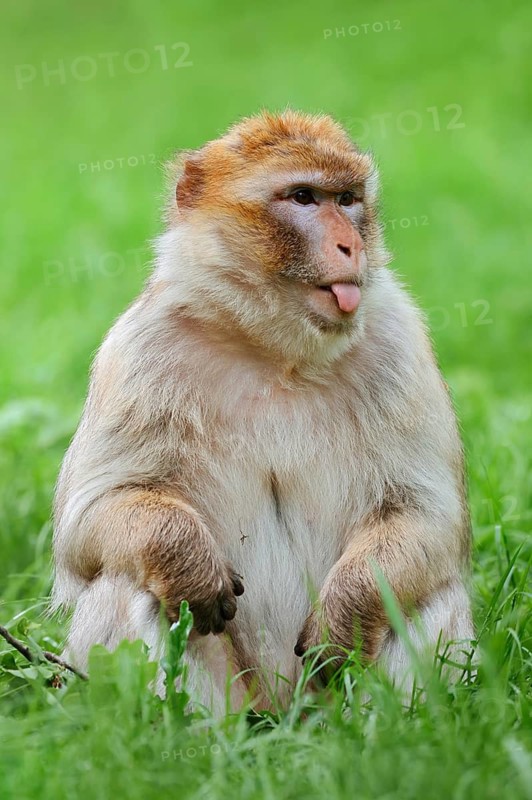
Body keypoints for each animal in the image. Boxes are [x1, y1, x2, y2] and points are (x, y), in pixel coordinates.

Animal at [52, 110, 474, 713]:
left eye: (347, 199)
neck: (274, 353)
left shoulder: (400, 341)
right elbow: (89, 523)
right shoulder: (138, 351)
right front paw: (189, 566)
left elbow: (426, 517)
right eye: (303, 197)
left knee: (429, 591)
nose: (351, 245)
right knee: (127, 580)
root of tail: (280, 710)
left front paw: (346, 618)